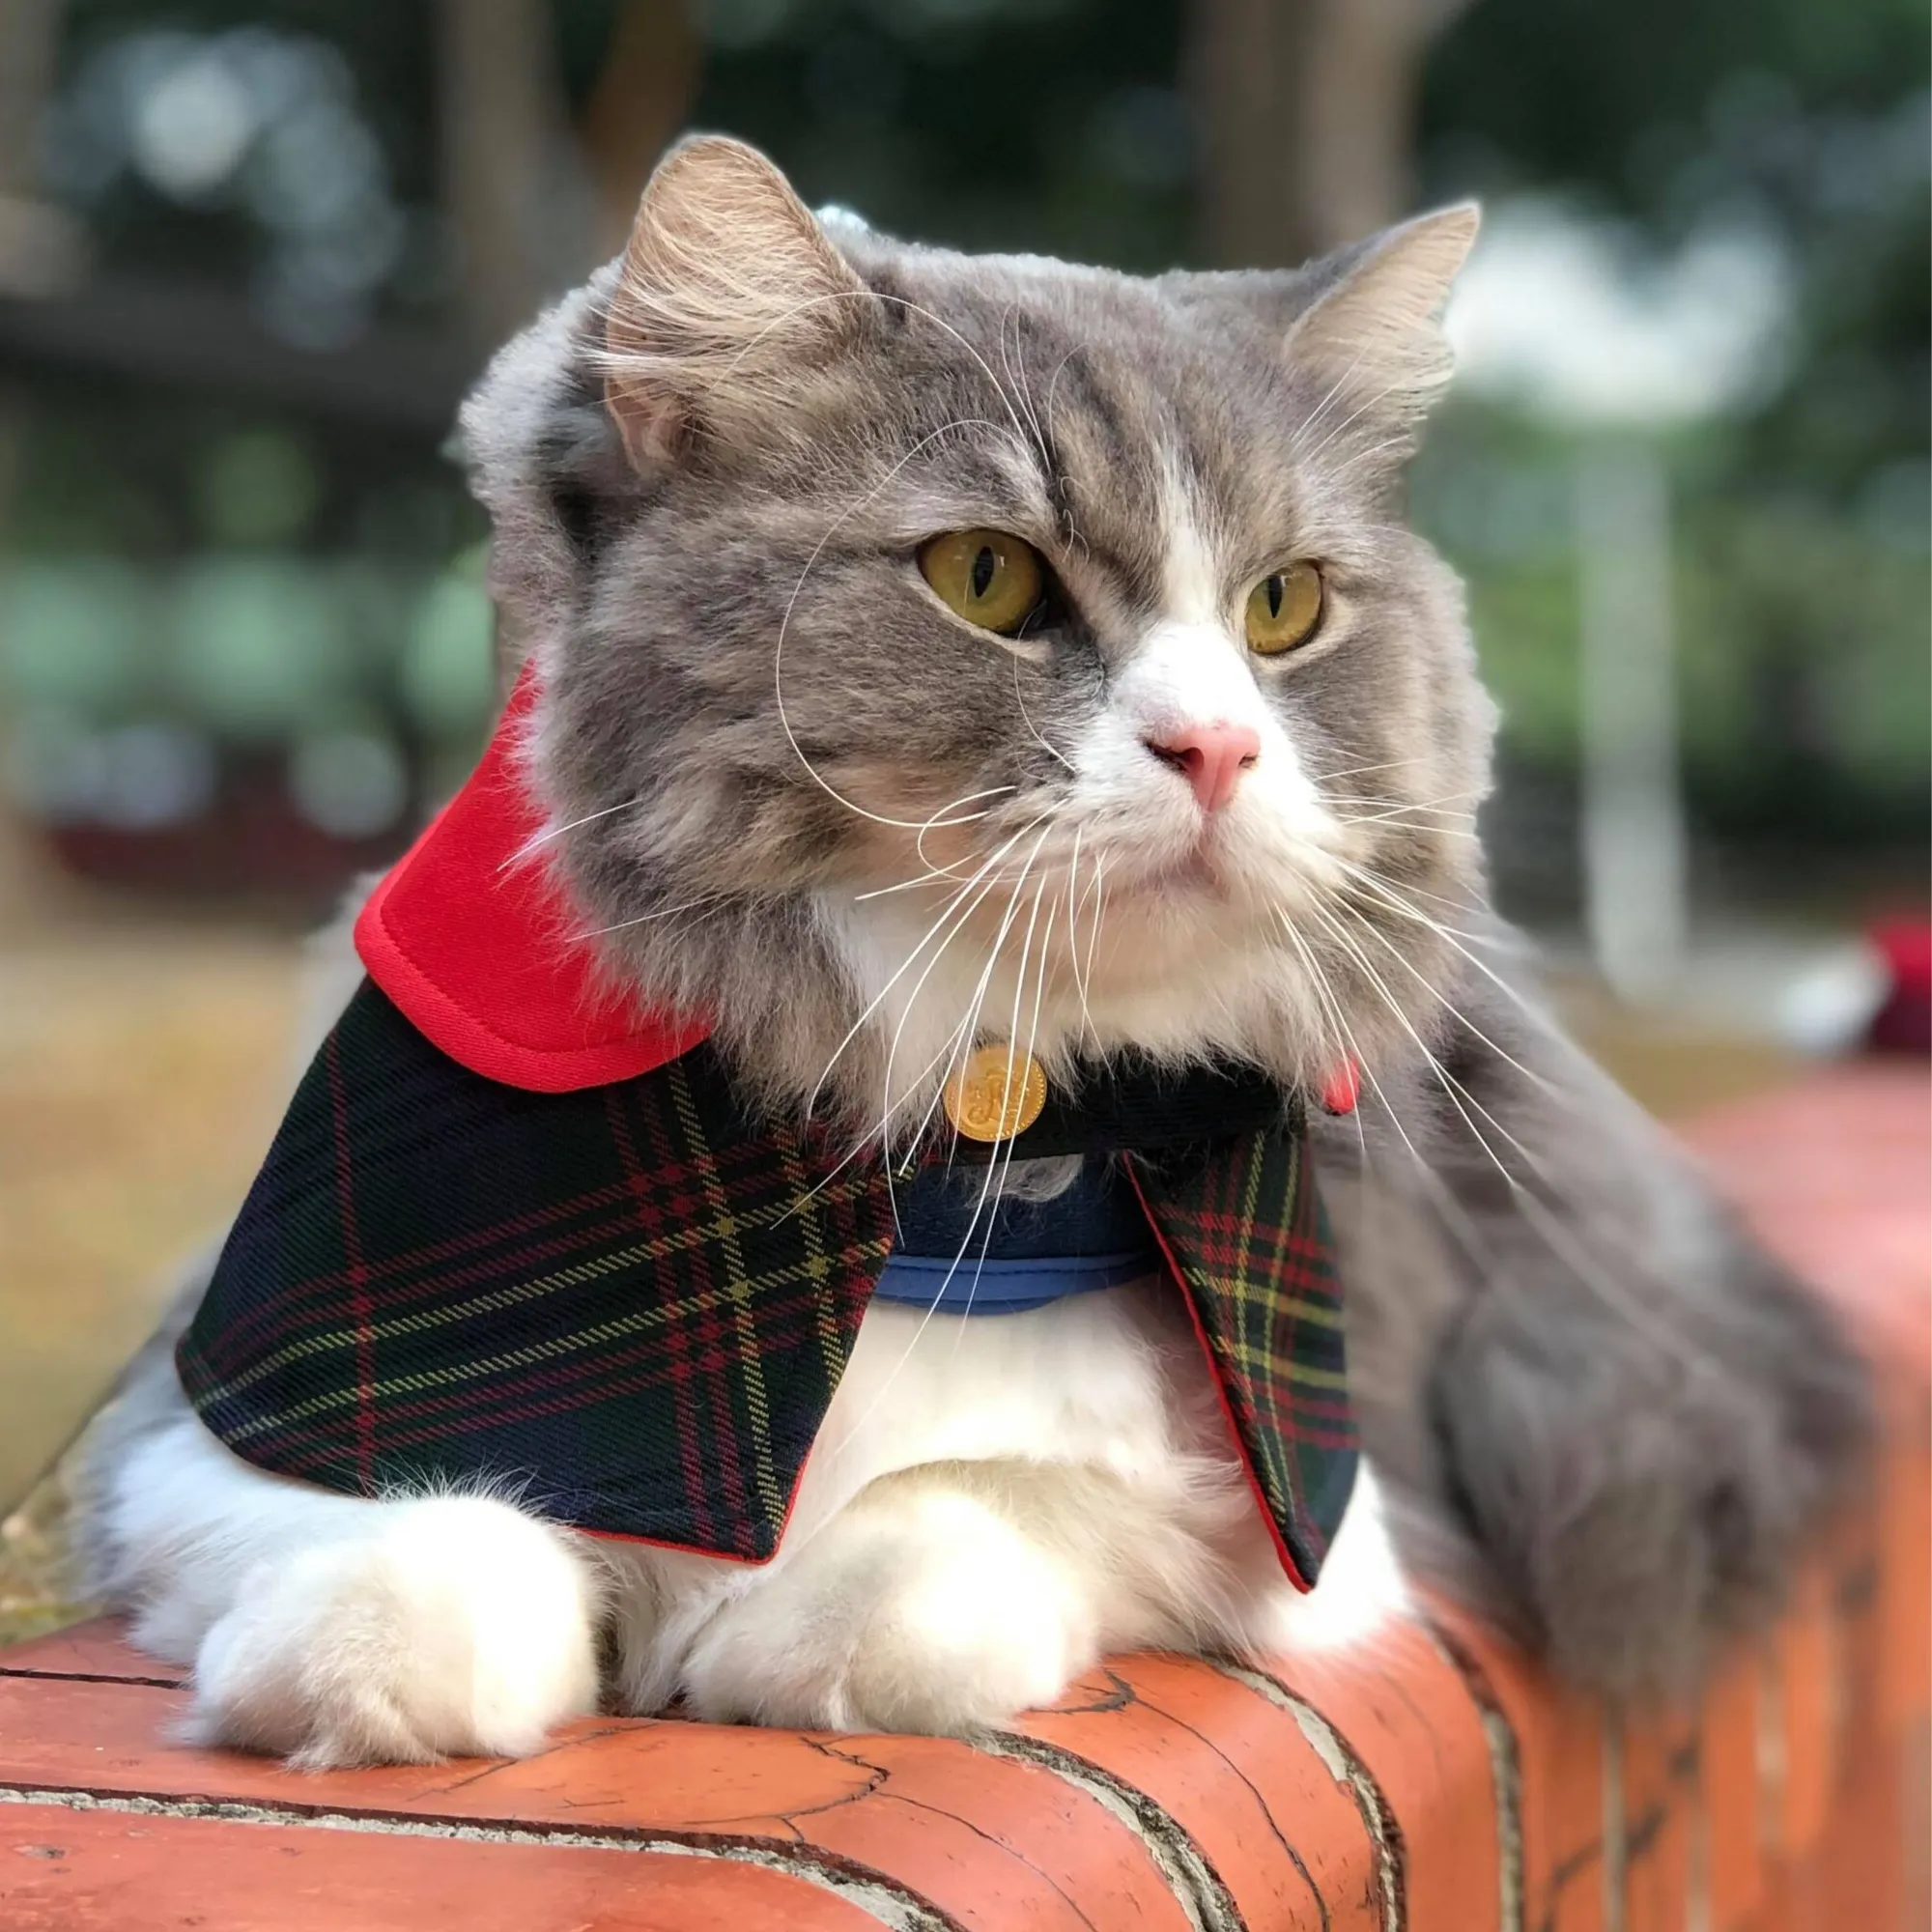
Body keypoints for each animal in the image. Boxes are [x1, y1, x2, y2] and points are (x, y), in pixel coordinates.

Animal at [79, 136, 1870, 1770]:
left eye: (1283, 609)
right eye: (988, 577)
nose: (1219, 747)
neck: (938, 1126)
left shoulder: (1337, 1508)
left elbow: (982, 1503)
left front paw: (764, 1629)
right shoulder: (191, 1405)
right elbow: (402, 1538)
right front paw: (377, 1655)